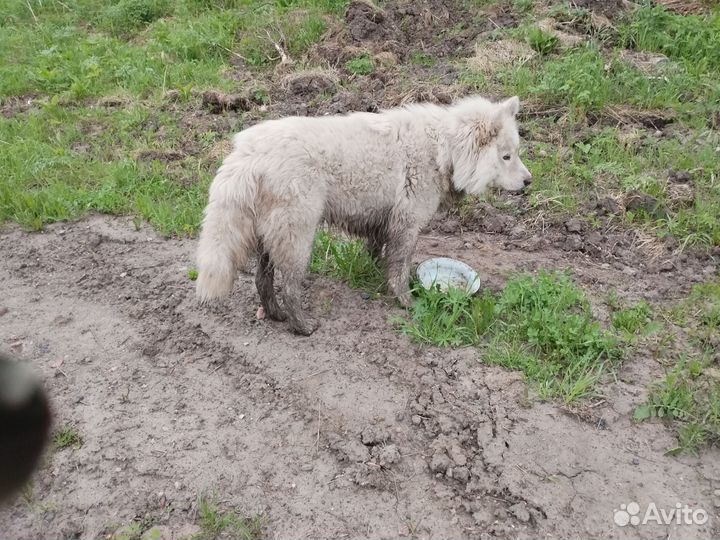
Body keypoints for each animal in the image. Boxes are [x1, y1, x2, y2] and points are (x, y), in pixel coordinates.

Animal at [194, 95, 532, 336]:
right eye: (506, 156)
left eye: (516, 153)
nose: (530, 181)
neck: (443, 149)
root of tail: (247, 153)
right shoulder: (407, 225)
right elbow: (400, 269)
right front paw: (406, 301)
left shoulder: (382, 223)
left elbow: (379, 255)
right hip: (297, 237)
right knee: (289, 286)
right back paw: (302, 326)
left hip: (272, 235)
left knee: (263, 281)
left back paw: (276, 314)